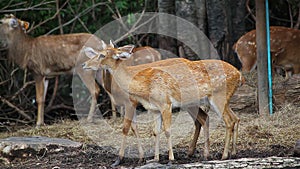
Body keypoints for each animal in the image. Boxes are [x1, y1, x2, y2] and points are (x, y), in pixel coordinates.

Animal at [82, 41, 241, 166]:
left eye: (102, 55)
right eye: (96, 53)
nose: (84, 64)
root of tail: (240, 76)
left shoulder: (164, 103)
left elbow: (166, 130)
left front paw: (170, 159)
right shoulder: (154, 108)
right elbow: (155, 131)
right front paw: (155, 158)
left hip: (218, 97)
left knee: (227, 121)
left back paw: (224, 155)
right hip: (214, 101)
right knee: (231, 118)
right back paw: (226, 153)